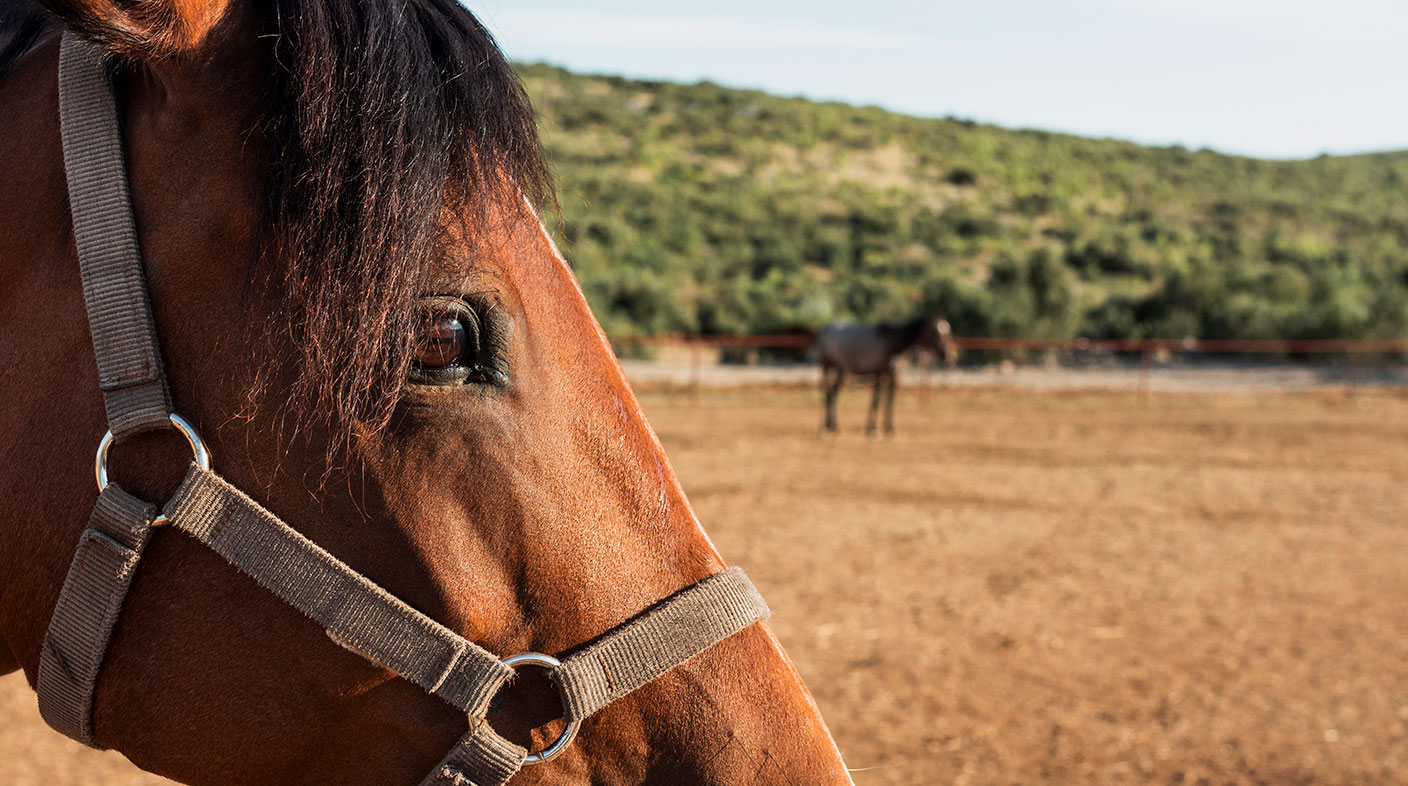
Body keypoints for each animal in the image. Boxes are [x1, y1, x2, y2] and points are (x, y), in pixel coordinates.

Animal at [817, 316, 957, 435]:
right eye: (935, 332)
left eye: (947, 332)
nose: (948, 356)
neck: (891, 344)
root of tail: (827, 328)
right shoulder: (879, 374)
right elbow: (876, 400)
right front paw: (872, 429)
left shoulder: (893, 376)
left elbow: (890, 400)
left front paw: (889, 429)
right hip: (826, 365)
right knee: (827, 392)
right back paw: (826, 426)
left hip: (841, 369)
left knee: (833, 393)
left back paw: (833, 426)